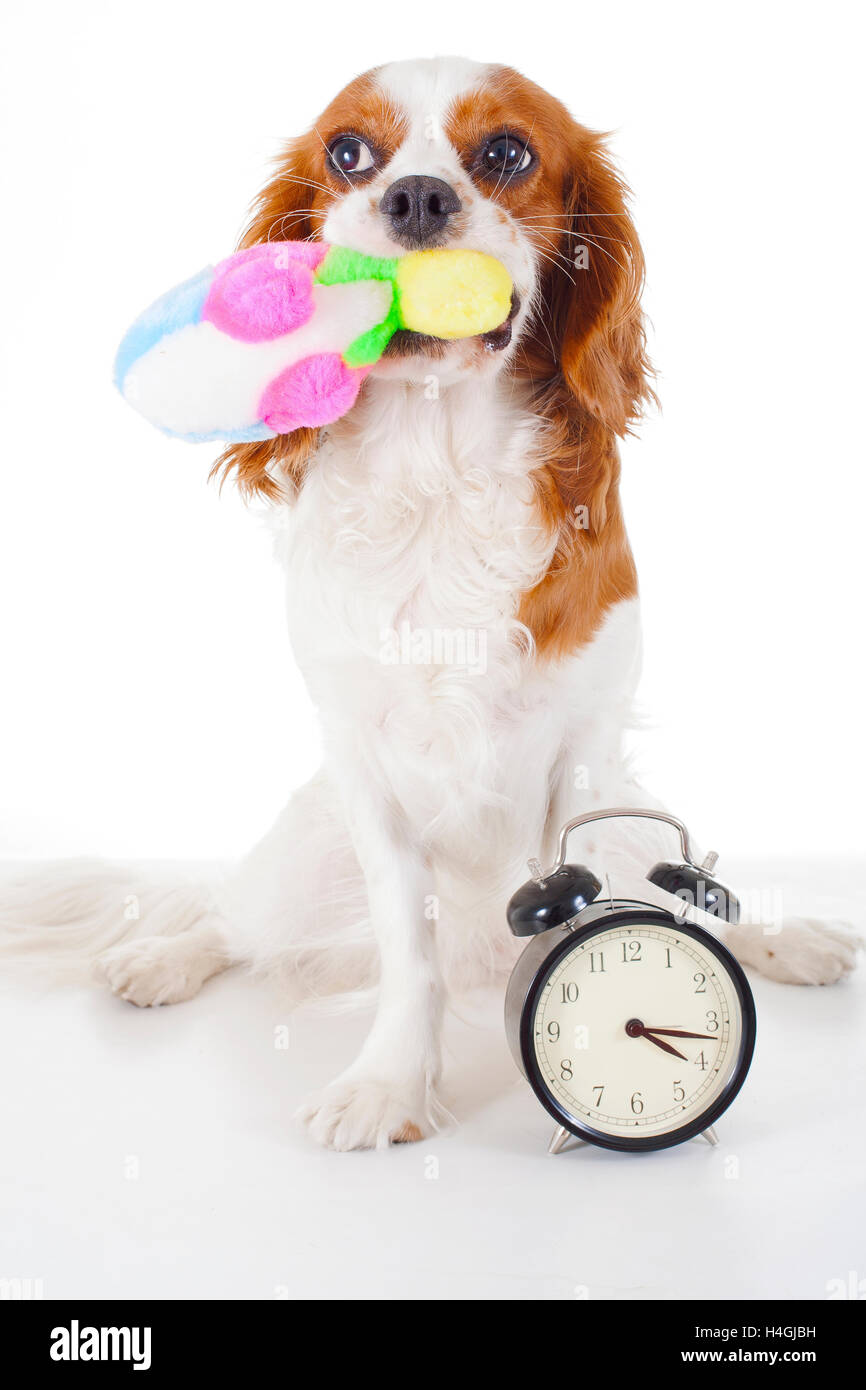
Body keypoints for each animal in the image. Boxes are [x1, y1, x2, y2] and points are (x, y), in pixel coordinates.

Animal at [3, 59, 861, 1150]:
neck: (436, 462)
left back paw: (788, 937)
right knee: (231, 914)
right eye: (347, 153)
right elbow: (406, 952)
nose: (415, 195)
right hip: (304, 852)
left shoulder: (585, 757)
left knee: (692, 895)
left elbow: (609, 899)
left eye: (505, 152)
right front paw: (389, 1086)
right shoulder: (365, 767)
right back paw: (162, 956)